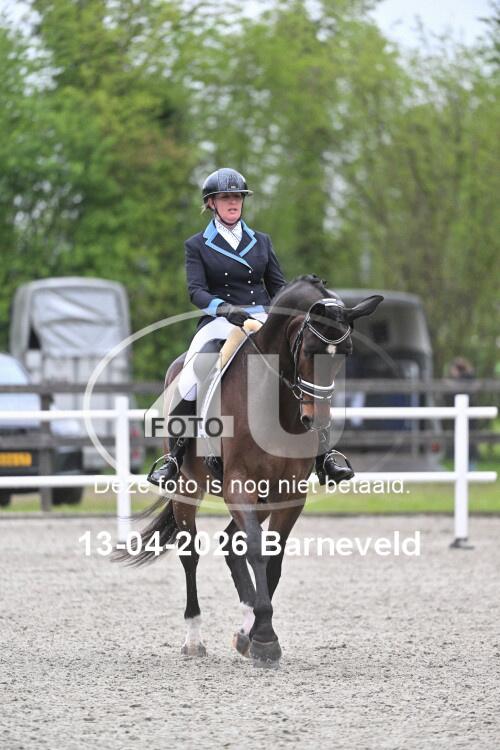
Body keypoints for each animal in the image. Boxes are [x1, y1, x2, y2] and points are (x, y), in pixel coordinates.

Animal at [115, 275, 383, 665]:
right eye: (308, 350)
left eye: (344, 354)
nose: (315, 421)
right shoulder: (237, 484)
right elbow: (256, 550)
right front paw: (265, 638)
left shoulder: (289, 493)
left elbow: (273, 558)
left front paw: (255, 635)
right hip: (188, 488)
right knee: (191, 554)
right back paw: (194, 639)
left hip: (260, 497)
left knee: (230, 542)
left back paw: (243, 627)